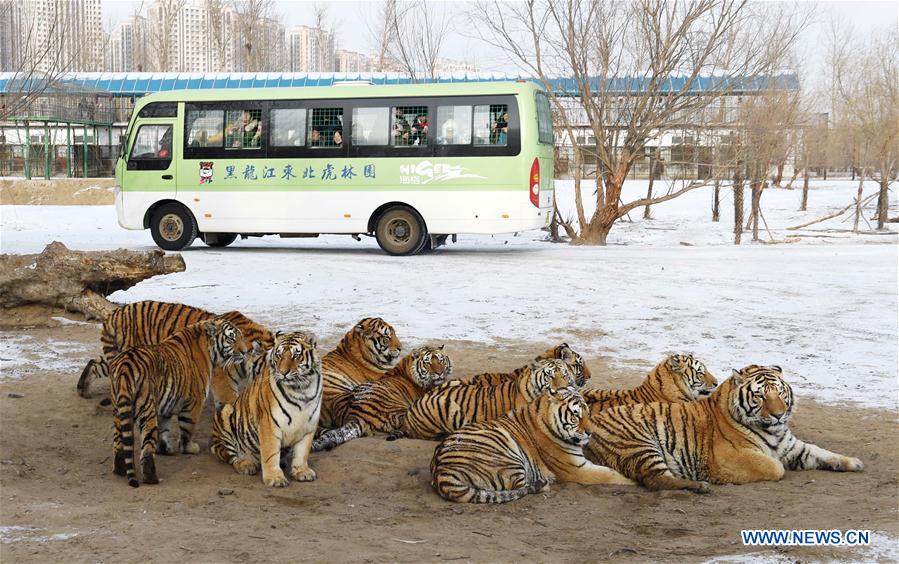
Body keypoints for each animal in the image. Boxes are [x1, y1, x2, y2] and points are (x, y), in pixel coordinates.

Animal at [77, 300, 273, 406]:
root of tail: (114, 314)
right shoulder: (223, 379)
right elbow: (231, 402)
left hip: (119, 354)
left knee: (96, 363)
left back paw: (83, 389)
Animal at [111, 318, 248, 487]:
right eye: (231, 338)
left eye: (241, 337)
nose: (245, 352)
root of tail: (125, 365)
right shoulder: (194, 402)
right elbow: (187, 429)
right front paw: (189, 448)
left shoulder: (165, 405)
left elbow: (164, 430)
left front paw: (165, 449)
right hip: (146, 410)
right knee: (147, 447)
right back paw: (151, 478)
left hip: (118, 411)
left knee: (119, 442)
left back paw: (120, 470)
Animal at [211, 331, 322, 487]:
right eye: (279, 355)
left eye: (296, 355)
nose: (283, 372)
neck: (301, 389)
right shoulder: (269, 423)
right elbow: (270, 453)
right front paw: (275, 478)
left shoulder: (309, 425)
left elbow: (302, 452)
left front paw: (302, 472)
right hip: (225, 414)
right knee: (230, 455)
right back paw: (246, 464)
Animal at [430, 387, 634, 504]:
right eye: (576, 415)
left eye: (588, 414)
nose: (590, 433)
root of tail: (441, 473)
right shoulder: (578, 470)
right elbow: (610, 475)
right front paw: (632, 482)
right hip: (507, 449)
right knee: (519, 486)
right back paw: (543, 484)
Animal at [584, 365, 864, 493]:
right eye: (760, 396)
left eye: (780, 393)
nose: (778, 414)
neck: (773, 431)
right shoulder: (729, 458)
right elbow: (775, 466)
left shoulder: (793, 447)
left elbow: (822, 452)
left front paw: (853, 462)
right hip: (640, 442)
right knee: (654, 479)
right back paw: (700, 486)